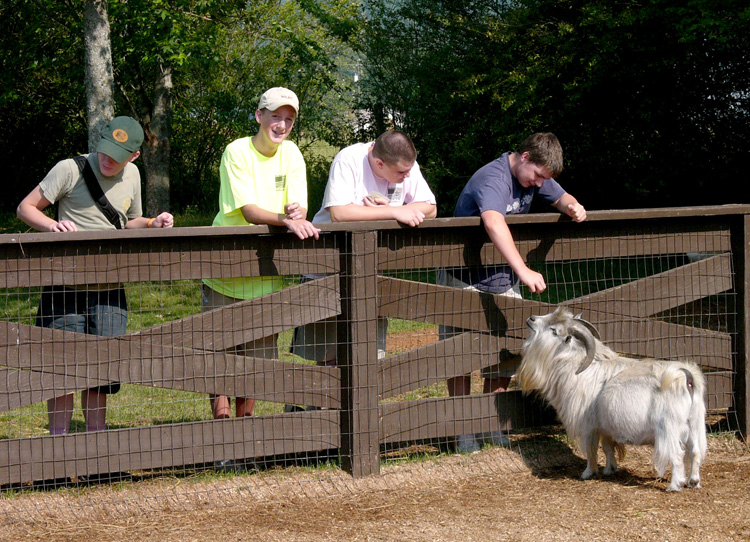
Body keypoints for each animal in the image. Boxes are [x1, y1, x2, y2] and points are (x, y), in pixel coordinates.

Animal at [520, 306, 708, 492]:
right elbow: (608, 448)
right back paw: (694, 481)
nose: (531, 319)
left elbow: (591, 450)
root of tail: (687, 377)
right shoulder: (606, 428)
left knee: (677, 454)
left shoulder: (589, 426)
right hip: (694, 423)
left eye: (554, 330)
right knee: (695, 451)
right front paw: (609, 469)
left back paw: (675, 485)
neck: (578, 367)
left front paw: (588, 473)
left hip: (669, 429)